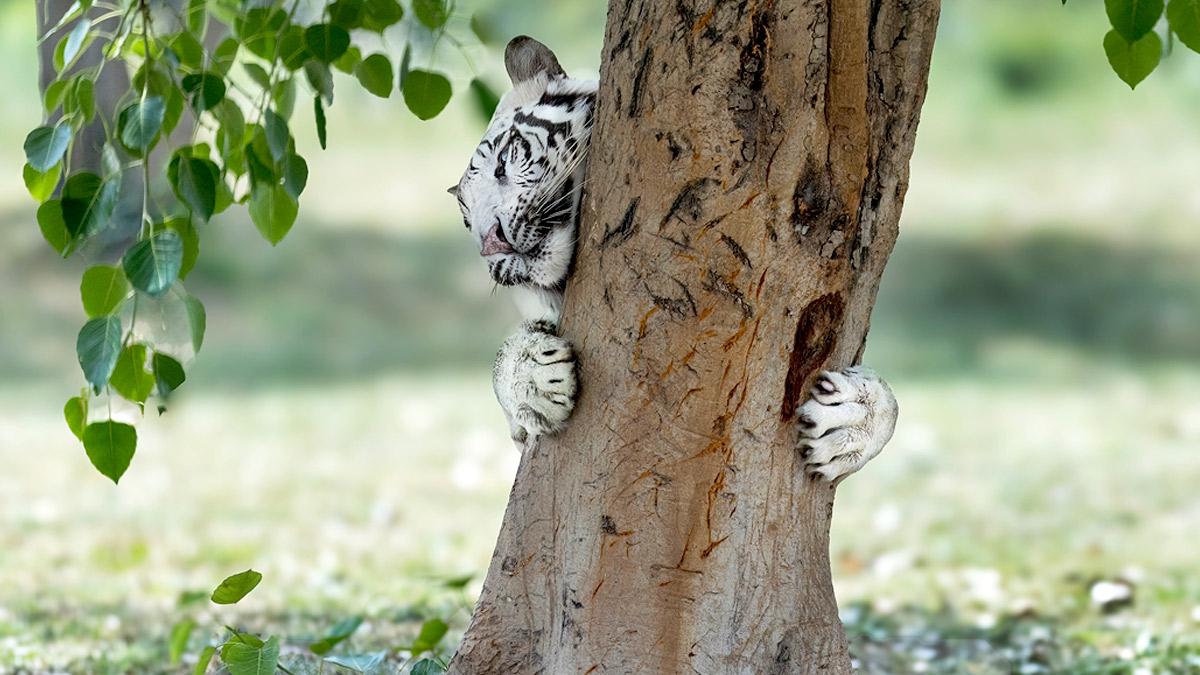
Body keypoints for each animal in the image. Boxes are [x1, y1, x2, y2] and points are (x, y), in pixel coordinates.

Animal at [449, 36, 898, 482]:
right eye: (468, 221)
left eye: (503, 162)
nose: (491, 245)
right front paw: (533, 379)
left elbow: (891, 406)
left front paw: (852, 423)